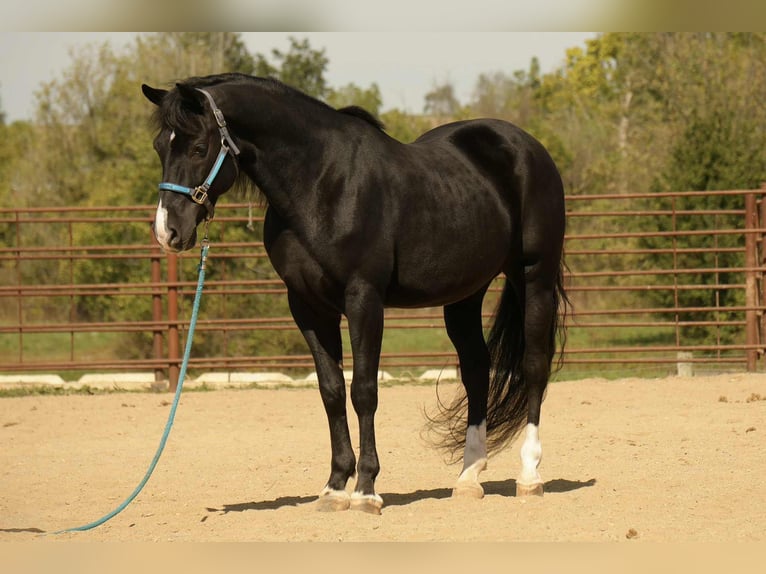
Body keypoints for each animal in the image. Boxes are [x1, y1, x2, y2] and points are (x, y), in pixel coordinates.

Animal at [142, 73, 568, 514]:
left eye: (198, 147)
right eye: (160, 146)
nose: (167, 231)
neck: (321, 183)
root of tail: (527, 146)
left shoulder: (364, 299)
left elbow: (363, 390)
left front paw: (366, 490)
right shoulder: (307, 307)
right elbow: (331, 391)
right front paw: (334, 487)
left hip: (533, 276)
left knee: (534, 365)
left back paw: (529, 476)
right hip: (465, 293)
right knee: (476, 369)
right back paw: (468, 478)